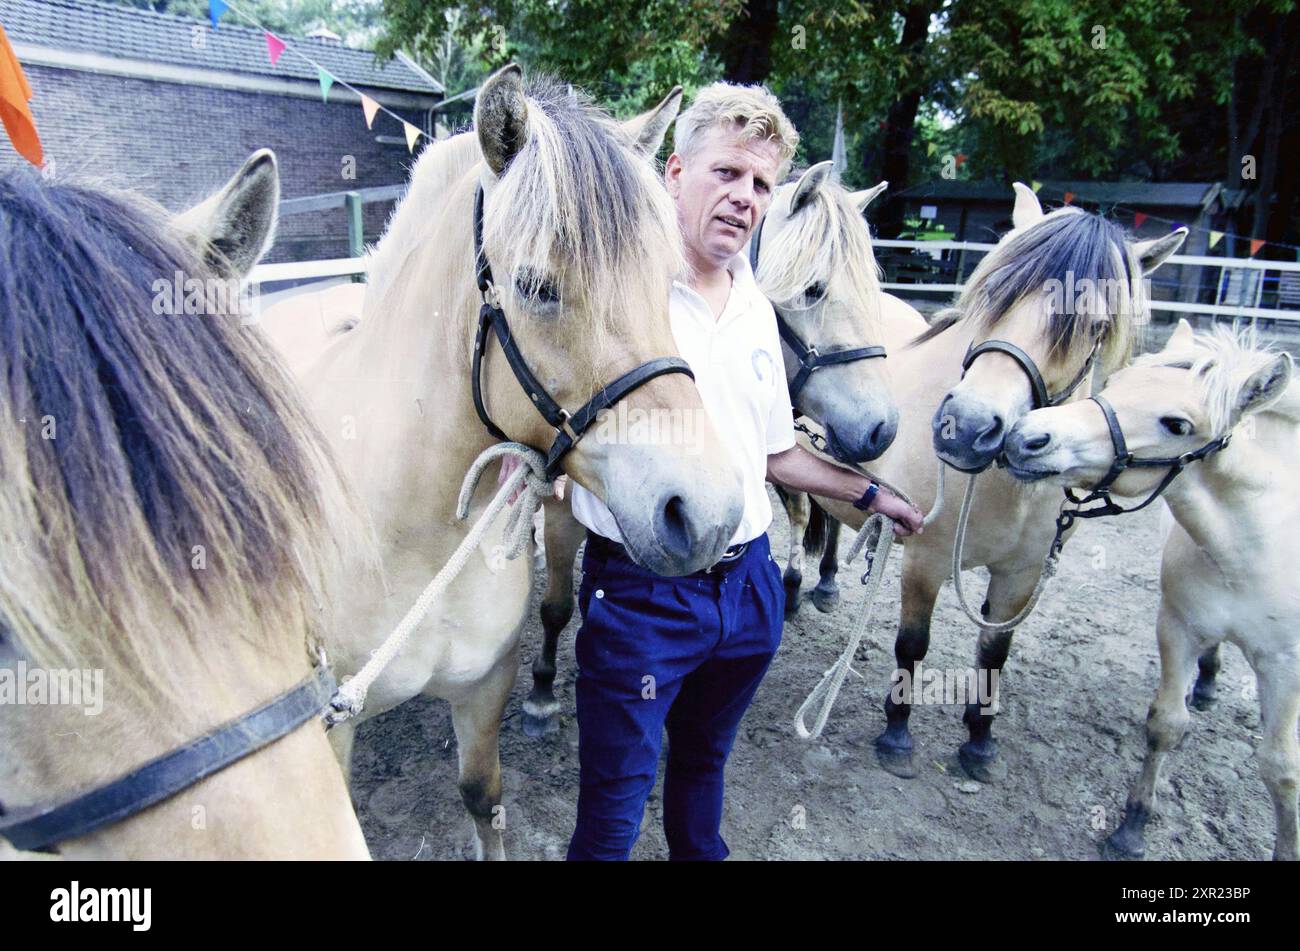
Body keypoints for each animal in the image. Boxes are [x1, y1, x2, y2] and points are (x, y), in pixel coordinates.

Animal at [258, 66, 746, 860]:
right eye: (536, 287)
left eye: (666, 282)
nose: (706, 514)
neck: (415, 535)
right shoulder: (327, 741)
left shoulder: (487, 684)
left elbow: (483, 798)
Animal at [523, 163, 902, 736]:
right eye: (814, 289)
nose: (883, 428)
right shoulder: (568, 497)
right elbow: (557, 606)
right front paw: (543, 689)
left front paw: (799, 584)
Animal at [790, 184, 1186, 782]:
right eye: (994, 295)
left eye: (1093, 327)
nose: (966, 426)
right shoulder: (924, 560)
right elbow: (913, 645)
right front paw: (897, 735)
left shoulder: (1022, 574)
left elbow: (994, 653)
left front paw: (979, 742)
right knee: (795, 520)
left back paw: (829, 584)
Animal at [1004, 319, 1298, 860]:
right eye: (1116, 384)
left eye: (1177, 425)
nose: (1027, 436)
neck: (1253, 544)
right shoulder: (1178, 626)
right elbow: (1166, 725)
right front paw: (1132, 826)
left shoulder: (1287, 663)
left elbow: (1281, 767)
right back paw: (1207, 685)